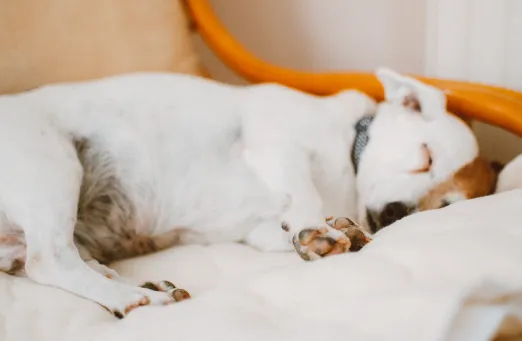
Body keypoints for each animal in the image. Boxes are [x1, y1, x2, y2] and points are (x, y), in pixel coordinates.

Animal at [0, 68, 496, 316]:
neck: (347, 163)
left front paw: (331, 233)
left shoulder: (257, 229)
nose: (398, 212)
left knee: (65, 262)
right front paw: (320, 228)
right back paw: (135, 298)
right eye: (424, 157)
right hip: (52, 166)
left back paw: (139, 284)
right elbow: (306, 196)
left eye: (441, 206)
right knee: (51, 261)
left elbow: (290, 228)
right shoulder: (276, 147)